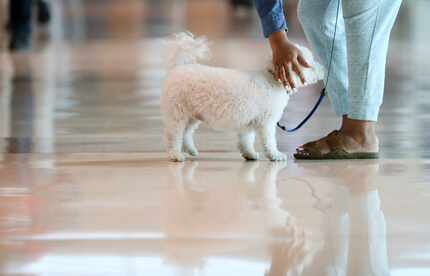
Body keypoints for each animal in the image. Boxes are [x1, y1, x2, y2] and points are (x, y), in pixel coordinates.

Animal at [160, 32, 322, 162]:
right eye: (310, 63)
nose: (323, 69)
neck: (273, 79)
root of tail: (178, 68)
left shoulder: (248, 121)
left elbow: (246, 140)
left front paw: (249, 154)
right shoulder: (267, 122)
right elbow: (269, 141)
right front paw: (275, 155)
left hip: (192, 114)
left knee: (186, 133)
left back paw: (190, 149)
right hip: (178, 113)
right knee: (174, 135)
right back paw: (176, 154)